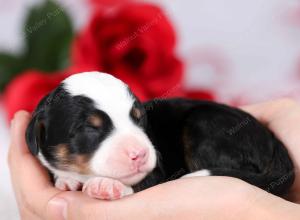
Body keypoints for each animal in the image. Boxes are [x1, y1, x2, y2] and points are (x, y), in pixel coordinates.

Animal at [26, 72, 296, 199]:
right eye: (89, 128)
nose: (140, 154)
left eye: (138, 119)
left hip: (204, 125)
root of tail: (273, 141)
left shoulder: (156, 171)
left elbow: (141, 183)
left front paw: (106, 186)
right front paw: (66, 179)